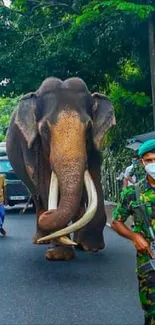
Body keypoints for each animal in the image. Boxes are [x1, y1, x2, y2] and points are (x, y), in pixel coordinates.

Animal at [6, 76, 115, 260]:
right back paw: (41, 239)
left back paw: (77, 242)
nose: (48, 214)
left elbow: (95, 176)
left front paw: (92, 247)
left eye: (89, 128)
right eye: (44, 129)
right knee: (37, 194)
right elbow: (45, 182)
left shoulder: (94, 145)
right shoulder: (32, 147)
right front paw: (59, 255)